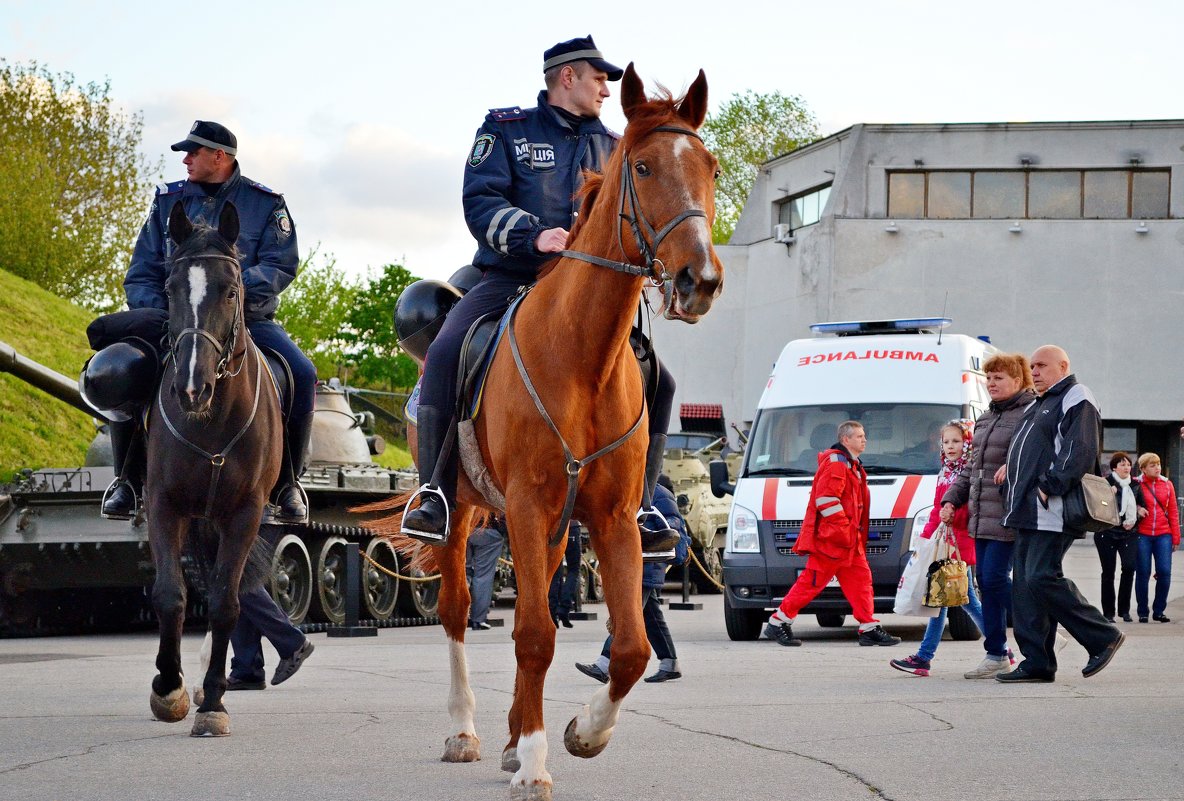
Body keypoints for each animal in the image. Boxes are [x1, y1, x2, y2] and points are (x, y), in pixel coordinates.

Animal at [143, 201, 279, 738]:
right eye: (171, 288)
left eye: (232, 290)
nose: (190, 387)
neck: (212, 421)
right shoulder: (164, 505)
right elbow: (169, 595)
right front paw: (169, 687)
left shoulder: (244, 514)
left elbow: (225, 601)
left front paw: (214, 702)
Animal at [369, 67, 719, 799]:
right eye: (642, 166)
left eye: (711, 168)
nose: (699, 280)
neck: (581, 356)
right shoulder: (528, 506)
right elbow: (532, 632)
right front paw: (534, 760)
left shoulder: (609, 518)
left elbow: (630, 647)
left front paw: (583, 732)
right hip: (465, 514)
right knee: (458, 609)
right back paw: (468, 731)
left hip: (555, 529)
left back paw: (506, 737)